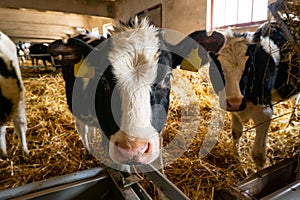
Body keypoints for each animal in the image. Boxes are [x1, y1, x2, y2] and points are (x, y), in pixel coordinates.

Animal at [193, 22, 298, 170]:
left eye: (249, 67)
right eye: (214, 68)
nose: (235, 102)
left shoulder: (264, 113)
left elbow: (258, 156)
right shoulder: (233, 108)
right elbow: (236, 132)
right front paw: (236, 156)